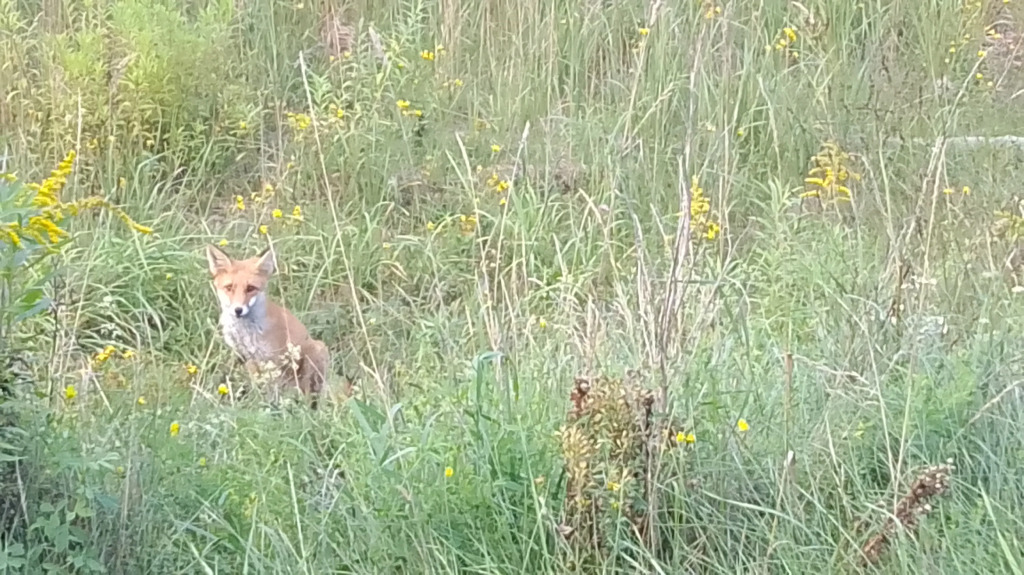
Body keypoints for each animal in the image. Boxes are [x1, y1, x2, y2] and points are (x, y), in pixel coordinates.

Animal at [201, 243, 325, 405]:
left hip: (317, 352)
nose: (238, 310)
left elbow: (272, 389)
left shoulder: (273, 359)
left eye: (250, 288)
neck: (246, 333)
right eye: (229, 288)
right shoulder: (245, 356)